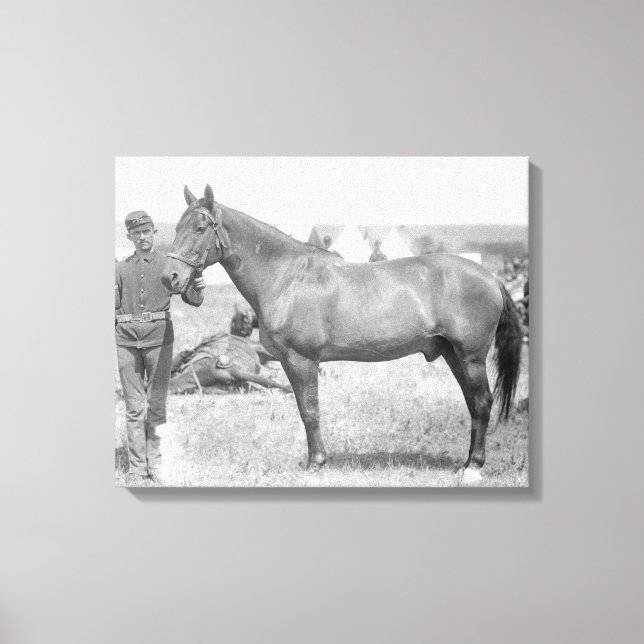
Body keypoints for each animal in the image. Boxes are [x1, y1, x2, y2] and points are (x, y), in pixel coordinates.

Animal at [162, 184, 523, 484]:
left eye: (199, 228)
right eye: (176, 227)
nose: (170, 277)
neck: (286, 277)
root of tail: (491, 277)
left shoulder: (302, 361)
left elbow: (310, 411)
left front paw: (316, 463)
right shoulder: (290, 363)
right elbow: (303, 409)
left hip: (471, 357)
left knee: (482, 402)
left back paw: (473, 467)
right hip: (452, 354)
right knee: (473, 403)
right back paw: (467, 462)